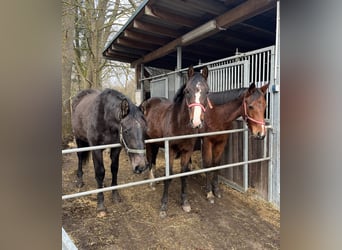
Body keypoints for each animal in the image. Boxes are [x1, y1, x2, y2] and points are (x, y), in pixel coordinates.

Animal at [140, 65, 210, 218]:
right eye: (187, 91)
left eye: (207, 91)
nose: (196, 122)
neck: (179, 124)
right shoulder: (171, 151)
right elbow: (170, 175)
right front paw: (163, 206)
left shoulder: (187, 151)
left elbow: (184, 174)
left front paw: (185, 203)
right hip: (148, 142)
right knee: (150, 159)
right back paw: (152, 182)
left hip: (156, 142)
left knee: (153, 159)